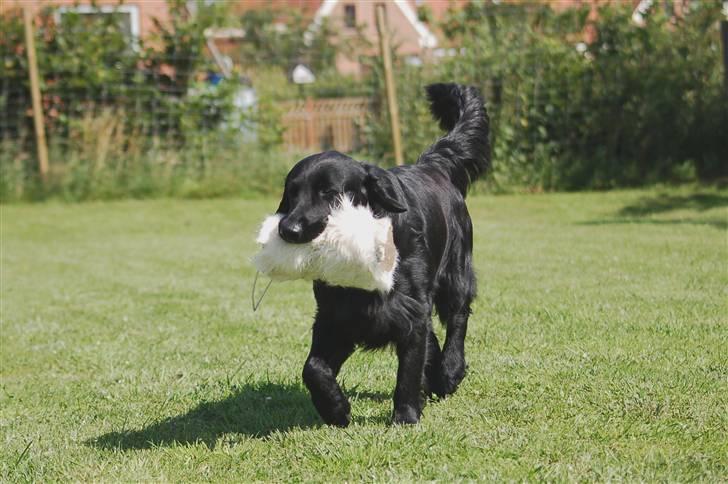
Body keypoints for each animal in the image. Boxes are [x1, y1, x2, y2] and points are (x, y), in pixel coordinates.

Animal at [276, 85, 492, 426]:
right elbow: (313, 369)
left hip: (456, 274)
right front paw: (336, 409)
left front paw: (405, 417)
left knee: (458, 318)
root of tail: (431, 164)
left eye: (330, 193)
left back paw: (450, 372)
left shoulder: (409, 311)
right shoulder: (336, 316)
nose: (288, 228)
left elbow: (408, 370)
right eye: (291, 193)